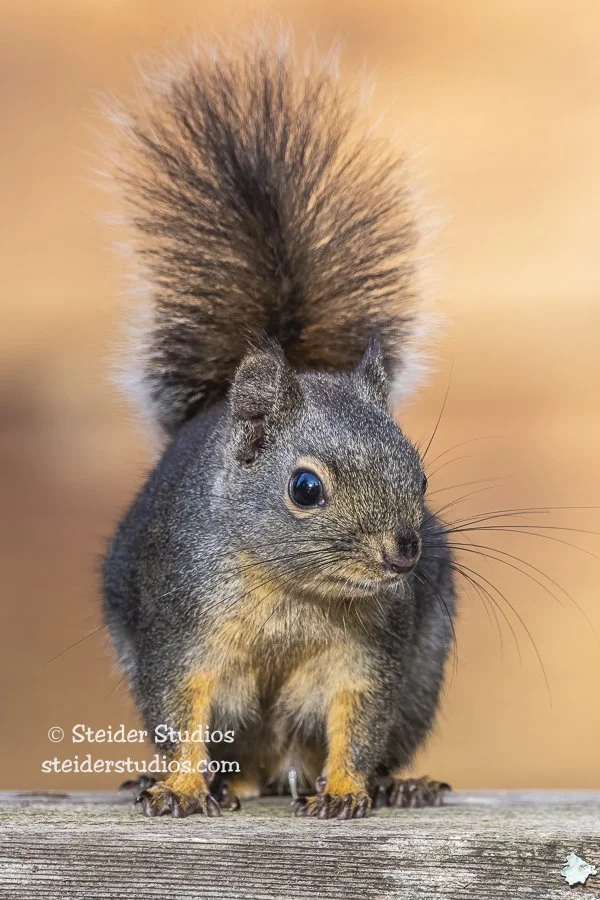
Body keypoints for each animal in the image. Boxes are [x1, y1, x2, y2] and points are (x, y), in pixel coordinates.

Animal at [102, 33, 456, 820]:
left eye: (420, 476)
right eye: (305, 488)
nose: (404, 552)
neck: (295, 591)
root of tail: (277, 767)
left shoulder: (368, 654)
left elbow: (359, 717)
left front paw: (349, 789)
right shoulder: (182, 630)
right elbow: (184, 707)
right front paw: (180, 787)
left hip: (423, 671)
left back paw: (398, 782)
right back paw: (211, 782)